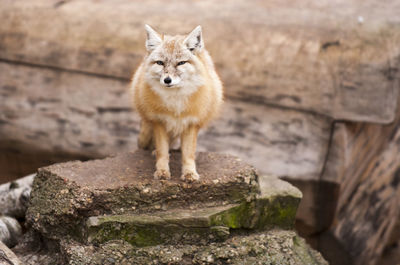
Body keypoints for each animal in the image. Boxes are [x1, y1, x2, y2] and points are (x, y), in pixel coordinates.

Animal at [132, 24, 223, 182]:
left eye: (181, 63)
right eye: (160, 63)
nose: (167, 80)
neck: (175, 103)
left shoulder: (191, 123)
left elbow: (188, 154)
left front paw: (189, 173)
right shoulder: (159, 121)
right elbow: (162, 151)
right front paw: (162, 171)